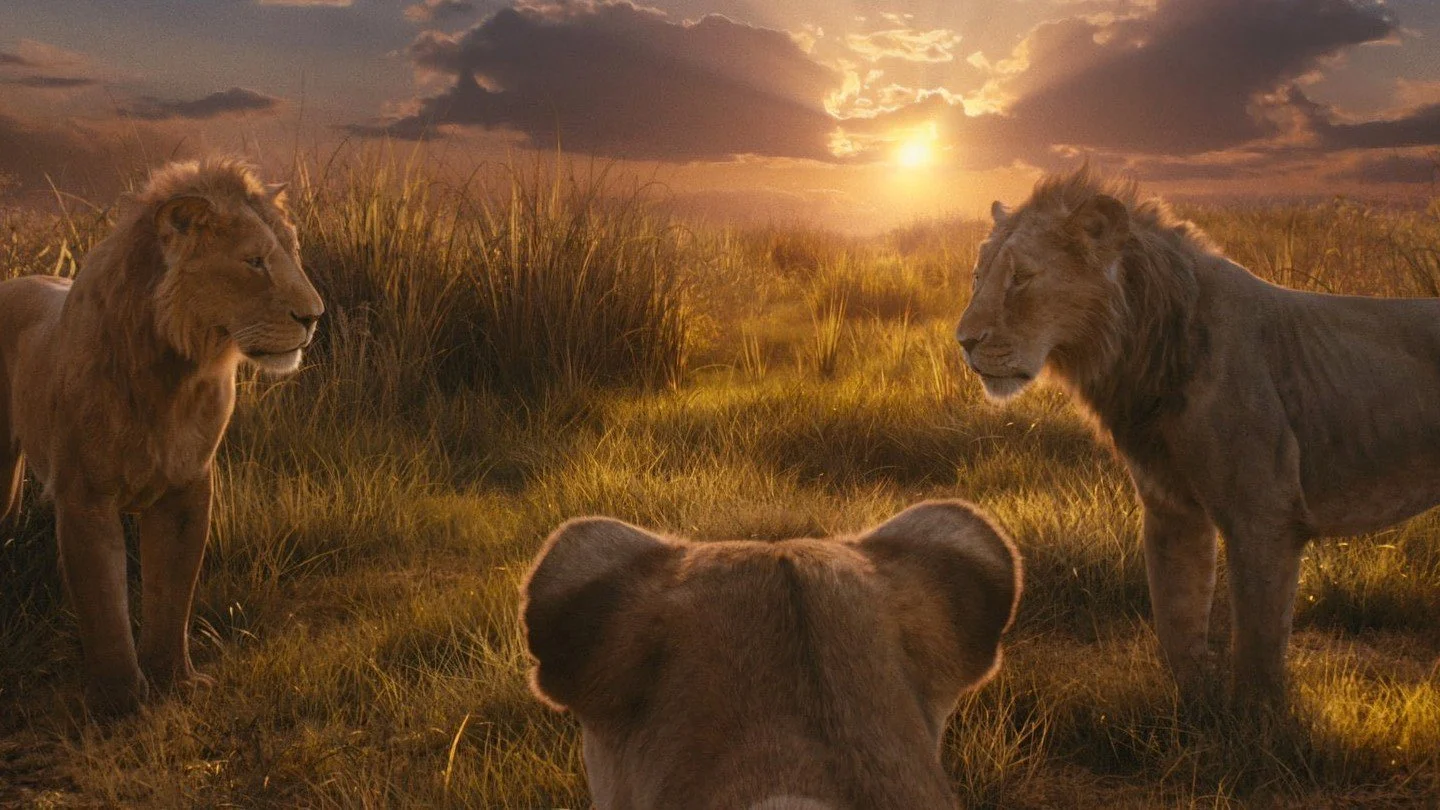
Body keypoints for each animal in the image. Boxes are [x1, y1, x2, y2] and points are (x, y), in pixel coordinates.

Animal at [0, 158, 324, 715]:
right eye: (255, 261)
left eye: (293, 252)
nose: (313, 316)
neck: (171, 373)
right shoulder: (84, 496)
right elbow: (104, 605)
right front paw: (119, 700)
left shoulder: (187, 487)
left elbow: (172, 593)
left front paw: (175, 681)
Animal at [955, 166, 1440, 708]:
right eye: (978, 277)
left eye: (1021, 277)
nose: (964, 342)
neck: (1141, 352)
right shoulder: (1171, 509)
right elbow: (1176, 621)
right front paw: (1195, 708)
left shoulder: (1264, 516)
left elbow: (1257, 649)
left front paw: (1256, 722)